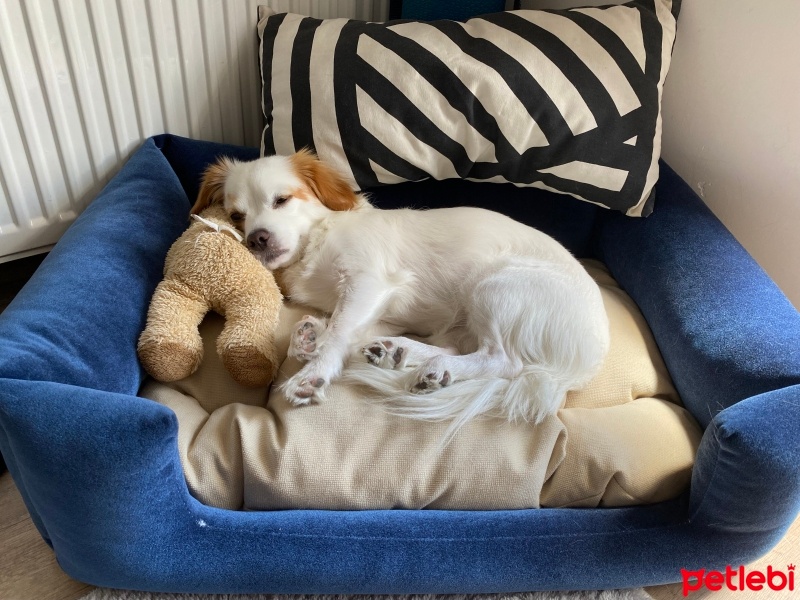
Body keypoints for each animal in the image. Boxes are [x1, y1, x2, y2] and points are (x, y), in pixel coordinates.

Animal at [191, 150, 608, 428]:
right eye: (237, 216)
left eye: (281, 199)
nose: (256, 239)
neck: (315, 243)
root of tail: (583, 366)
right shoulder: (377, 308)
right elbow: (341, 328)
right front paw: (308, 338)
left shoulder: (369, 282)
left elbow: (340, 330)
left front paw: (314, 371)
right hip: (461, 319)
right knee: (456, 347)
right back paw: (399, 353)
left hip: (494, 287)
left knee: (502, 360)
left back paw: (434, 367)